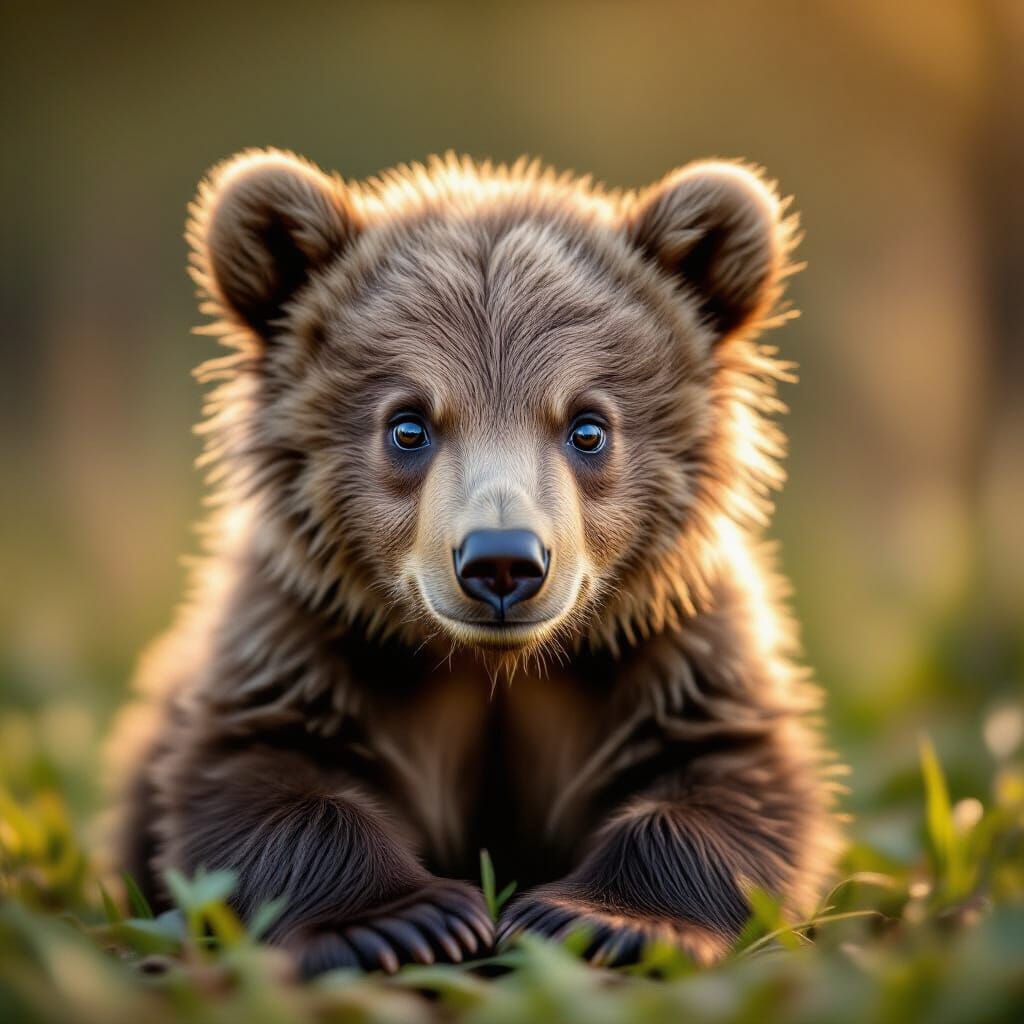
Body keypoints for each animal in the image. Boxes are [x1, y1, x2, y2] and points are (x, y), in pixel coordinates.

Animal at [108, 148, 841, 976]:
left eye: (588, 426)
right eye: (408, 424)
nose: (502, 561)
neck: (495, 669)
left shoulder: (666, 645)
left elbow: (729, 783)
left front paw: (597, 920)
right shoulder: (306, 636)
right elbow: (260, 777)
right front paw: (402, 923)